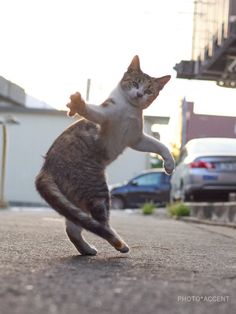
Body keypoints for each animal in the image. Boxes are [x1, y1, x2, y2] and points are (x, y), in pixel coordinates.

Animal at [35, 55, 175, 255]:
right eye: (134, 82)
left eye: (149, 90)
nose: (140, 94)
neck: (129, 109)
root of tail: (45, 168)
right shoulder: (105, 117)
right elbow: (92, 111)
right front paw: (79, 104)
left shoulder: (136, 139)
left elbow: (159, 145)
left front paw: (169, 163)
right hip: (97, 191)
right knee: (100, 224)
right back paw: (120, 244)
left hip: (76, 200)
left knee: (75, 226)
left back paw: (87, 249)